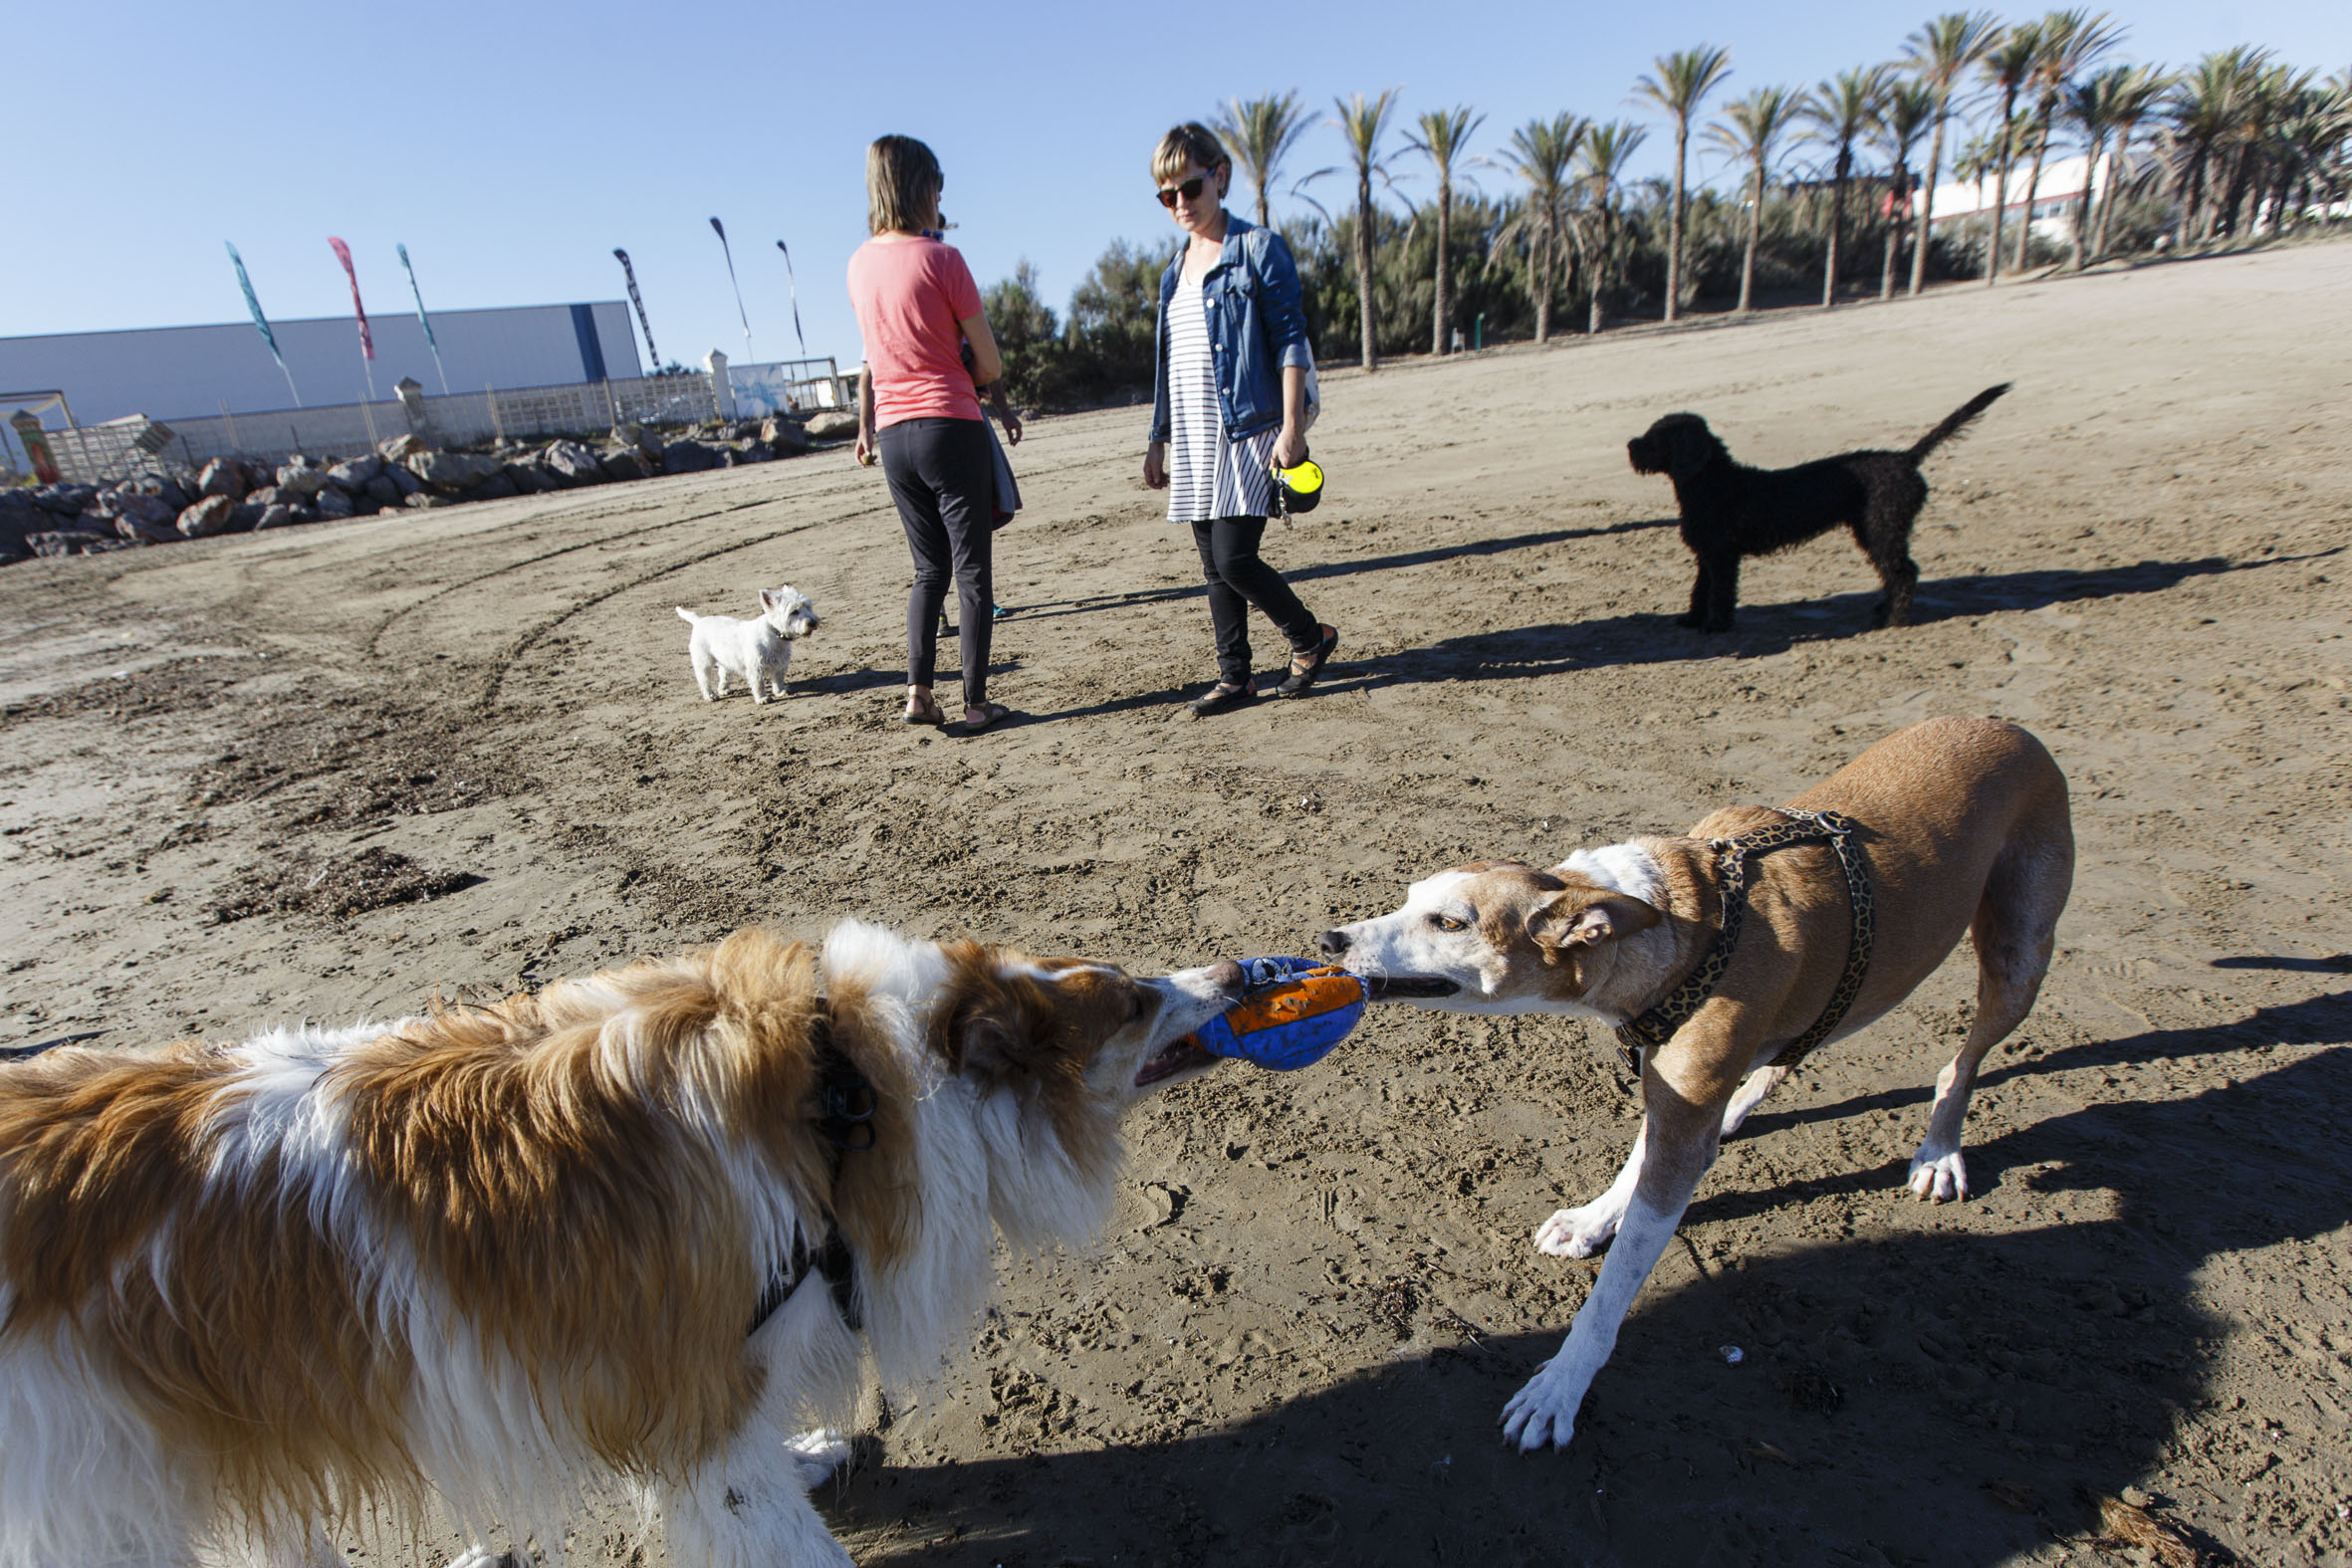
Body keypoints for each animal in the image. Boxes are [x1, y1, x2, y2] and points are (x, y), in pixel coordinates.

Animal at [0, 921, 1251, 1568]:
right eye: (1132, 1000)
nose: (1236, 970)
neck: (846, 1100)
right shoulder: (703, 1393)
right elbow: (769, 1528)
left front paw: (811, 1453)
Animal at [1316, 719, 2069, 1457]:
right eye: (1410, 899)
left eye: (1450, 921)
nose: (1331, 938)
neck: (1677, 922)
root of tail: (2010, 727)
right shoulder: (1672, 1090)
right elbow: (1639, 1159)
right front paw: (1595, 1218)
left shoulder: (1681, 1124)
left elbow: (1615, 1288)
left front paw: (1561, 1384)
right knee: (1794, 1048)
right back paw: (1742, 1109)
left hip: (2019, 956)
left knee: (1961, 1061)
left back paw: (1939, 1149)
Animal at [1636, 382, 2003, 634]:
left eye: (1656, 438)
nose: (1630, 446)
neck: (1712, 482)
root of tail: (1905, 459)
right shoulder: (1707, 555)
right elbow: (1700, 589)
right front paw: (1692, 619)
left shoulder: (1723, 556)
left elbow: (1720, 593)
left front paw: (1716, 626)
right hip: (1872, 530)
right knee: (1893, 572)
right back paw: (1884, 610)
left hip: (1882, 527)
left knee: (1903, 572)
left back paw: (1894, 620)